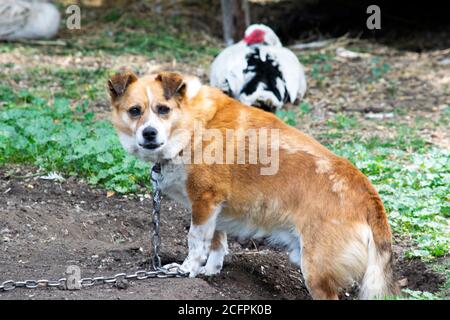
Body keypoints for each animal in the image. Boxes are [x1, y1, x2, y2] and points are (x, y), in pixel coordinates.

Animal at [109, 71, 398, 298]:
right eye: (135, 111)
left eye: (163, 109)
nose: (149, 133)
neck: (193, 127)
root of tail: (368, 194)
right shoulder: (213, 208)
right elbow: (216, 243)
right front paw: (209, 272)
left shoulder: (203, 201)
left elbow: (196, 242)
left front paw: (187, 270)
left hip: (315, 270)